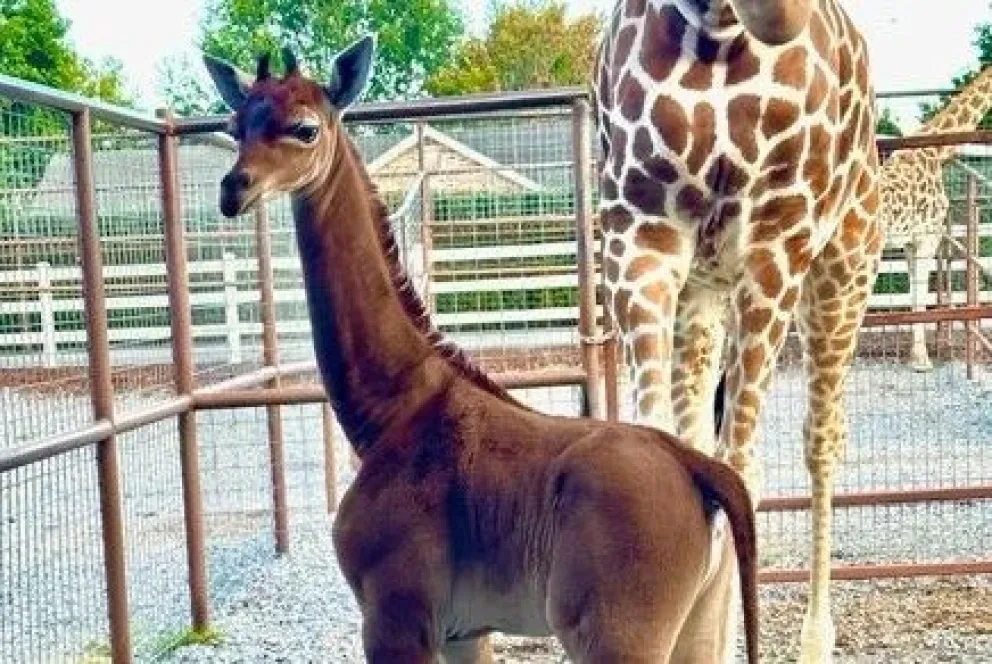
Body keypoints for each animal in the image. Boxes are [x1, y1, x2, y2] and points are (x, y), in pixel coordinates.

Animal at [204, 37, 760, 664]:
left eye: (304, 129)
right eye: (235, 124)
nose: (234, 188)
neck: (391, 412)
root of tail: (700, 469)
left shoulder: (396, 618)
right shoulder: (464, 631)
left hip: (617, 637)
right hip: (699, 627)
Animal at [592, 1, 881, 662]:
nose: (781, 13)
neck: (718, 33)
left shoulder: (776, 242)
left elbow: (741, 472)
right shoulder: (639, 234)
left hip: (843, 269)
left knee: (821, 439)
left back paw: (814, 640)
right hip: (702, 294)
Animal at [879, 64, 992, 372]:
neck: (935, 150)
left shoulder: (910, 241)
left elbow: (914, 291)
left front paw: (916, 356)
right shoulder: (927, 236)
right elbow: (919, 293)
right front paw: (921, 360)